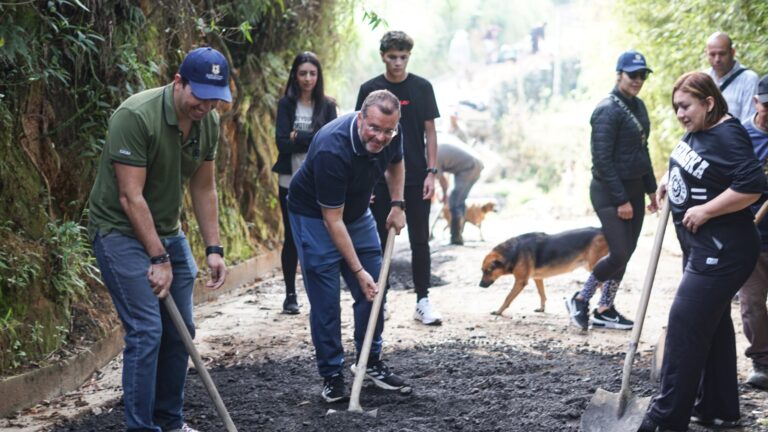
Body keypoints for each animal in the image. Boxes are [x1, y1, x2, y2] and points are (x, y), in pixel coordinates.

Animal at [476, 228, 608, 316]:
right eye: (482, 271)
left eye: (488, 271)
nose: (480, 285)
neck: (513, 251)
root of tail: (600, 230)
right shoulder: (537, 278)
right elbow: (542, 294)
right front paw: (542, 309)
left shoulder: (520, 281)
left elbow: (508, 297)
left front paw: (499, 311)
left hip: (596, 269)